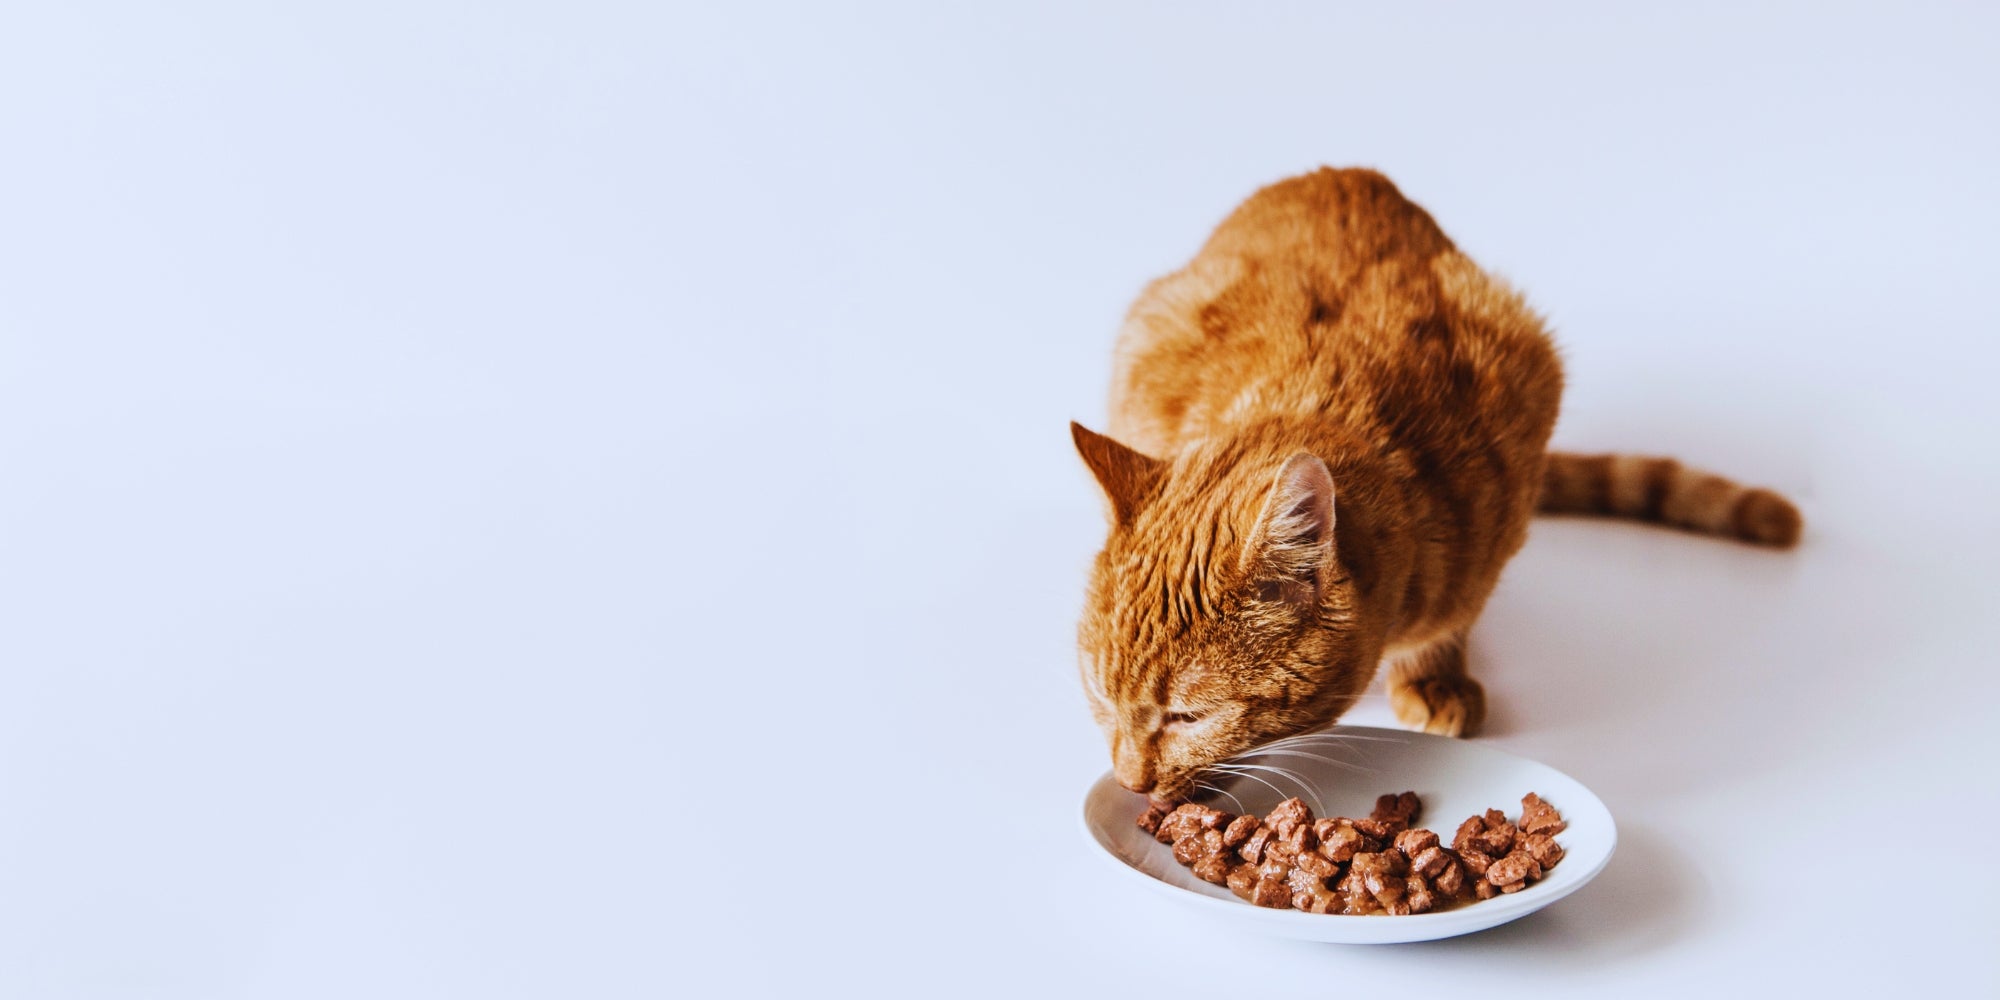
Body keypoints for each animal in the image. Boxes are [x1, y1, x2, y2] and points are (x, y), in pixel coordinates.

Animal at [1080, 168, 1800, 800]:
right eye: (1102, 696)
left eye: (1188, 717)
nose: (1129, 782)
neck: (1318, 391)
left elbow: (1454, 618)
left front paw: (1433, 675)